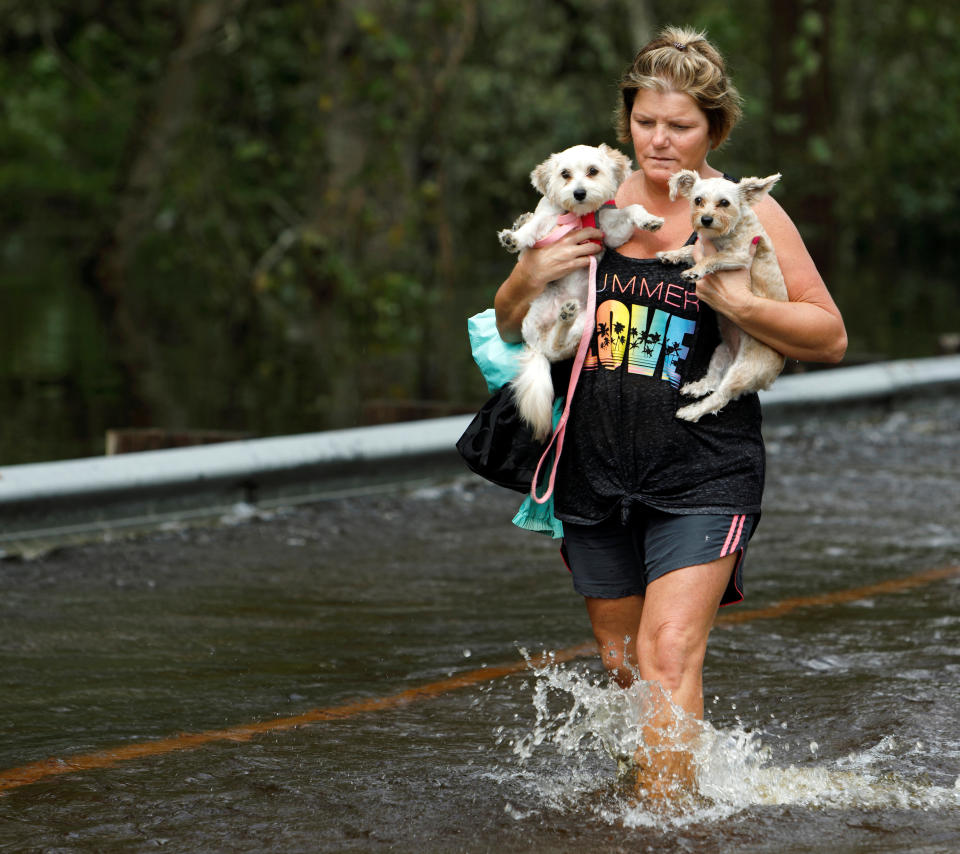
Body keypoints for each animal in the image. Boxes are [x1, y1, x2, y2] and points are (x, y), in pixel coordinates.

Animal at [498, 144, 664, 438]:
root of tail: (537, 347)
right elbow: (532, 229)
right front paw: (514, 237)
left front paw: (648, 220)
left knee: (560, 342)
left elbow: (632, 208)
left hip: (589, 320)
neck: (577, 216)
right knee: (554, 344)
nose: (579, 193)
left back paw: (566, 315)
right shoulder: (546, 226)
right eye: (564, 174)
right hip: (537, 317)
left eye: (593, 171)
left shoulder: (611, 233)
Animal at [660, 169, 788, 422]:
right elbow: (689, 249)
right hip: (720, 354)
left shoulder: (739, 256)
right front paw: (672, 254)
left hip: (742, 371)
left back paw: (690, 412)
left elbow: (713, 258)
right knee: (713, 382)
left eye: (724, 203)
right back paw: (696, 388)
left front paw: (695, 271)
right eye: (698, 200)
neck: (726, 232)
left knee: (720, 397)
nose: (706, 220)